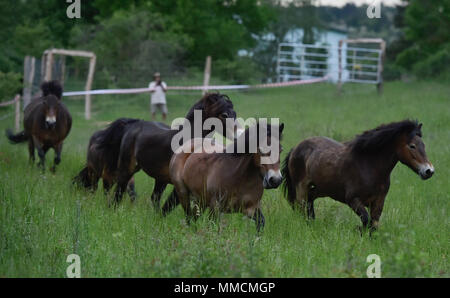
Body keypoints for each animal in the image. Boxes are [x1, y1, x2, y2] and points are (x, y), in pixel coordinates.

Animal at [284, 120, 434, 232]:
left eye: (423, 145)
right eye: (412, 146)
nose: (429, 171)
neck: (369, 166)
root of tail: (295, 148)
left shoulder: (378, 202)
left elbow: (374, 225)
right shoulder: (353, 199)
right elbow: (366, 221)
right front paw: (359, 230)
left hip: (318, 189)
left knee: (309, 206)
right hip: (301, 189)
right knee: (301, 208)